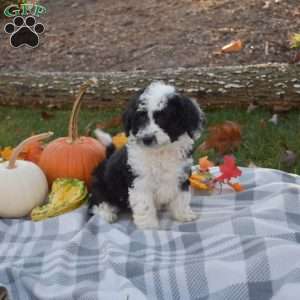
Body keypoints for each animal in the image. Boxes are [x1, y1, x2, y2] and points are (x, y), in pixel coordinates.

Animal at [89, 81, 206, 229]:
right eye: (140, 118)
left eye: (163, 118)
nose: (147, 138)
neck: (160, 152)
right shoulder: (139, 181)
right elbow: (144, 203)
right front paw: (148, 225)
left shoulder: (181, 174)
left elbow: (182, 196)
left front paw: (184, 214)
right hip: (101, 187)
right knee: (97, 202)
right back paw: (107, 214)